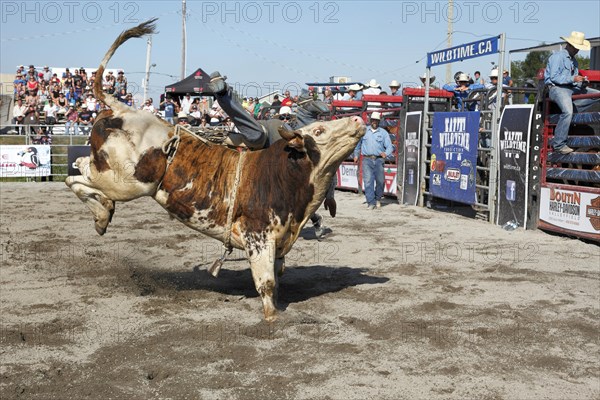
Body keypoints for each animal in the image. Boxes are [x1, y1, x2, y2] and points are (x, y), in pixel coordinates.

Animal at [65, 19, 366, 322]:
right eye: (319, 130)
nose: (356, 119)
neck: (280, 172)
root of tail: (124, 109)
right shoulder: (258, 236)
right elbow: (267, 282)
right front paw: (272, 318)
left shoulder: (281, 238)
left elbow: (278, 275)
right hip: (124, 181)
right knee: (76, 175)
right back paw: (102, 215)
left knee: (78, 175)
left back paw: (102, 213)